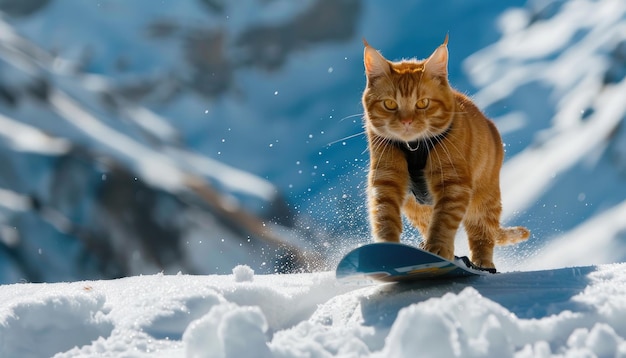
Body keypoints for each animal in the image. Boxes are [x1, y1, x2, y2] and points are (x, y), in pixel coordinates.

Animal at [360, 35, 528, 268]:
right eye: (390, 104)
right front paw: (388, 251)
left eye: (422, 103)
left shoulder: (453, 183)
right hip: (417, 209)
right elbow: (384, 215)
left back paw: (481, 265)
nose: (406, 121)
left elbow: (444, 221)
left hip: (483, 202)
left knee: (482, 235)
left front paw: (437, 248)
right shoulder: (386, 179)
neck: (414, 145)